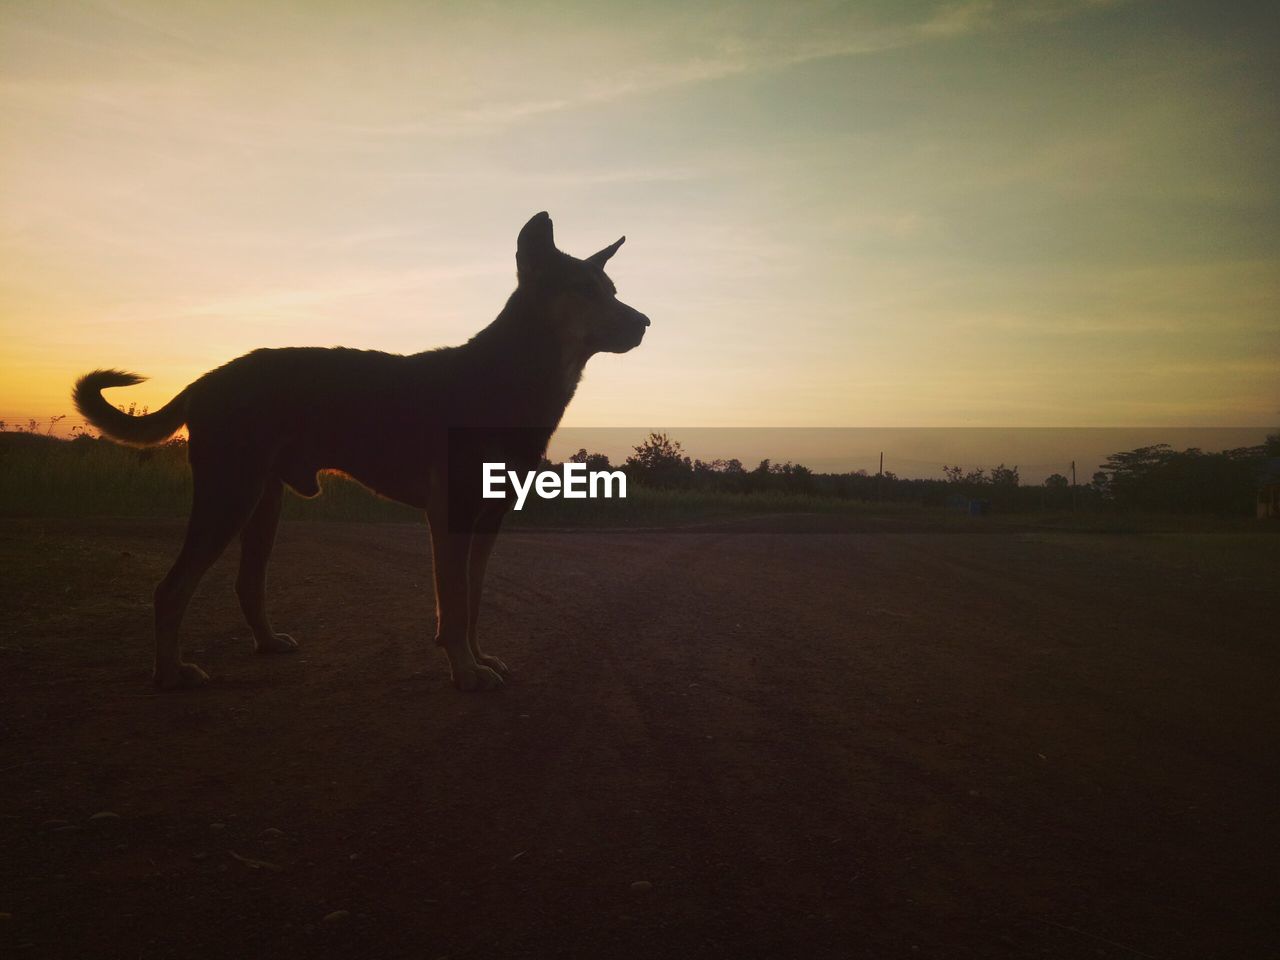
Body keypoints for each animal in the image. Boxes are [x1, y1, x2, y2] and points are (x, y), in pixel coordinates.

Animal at [71, 212, 650, 691]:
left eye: (611, 289)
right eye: (585, 290)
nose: (645, 323)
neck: (512, 376)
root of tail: (206, 379)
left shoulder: (489, 517)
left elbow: (473, 600)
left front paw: (478, 657)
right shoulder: (452, 514)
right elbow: (455, 603)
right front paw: (465, 671)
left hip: (263, 501)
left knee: (247, 583)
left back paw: (266, 643)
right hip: (228, 496)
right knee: (171, 589)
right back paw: (171, 672)